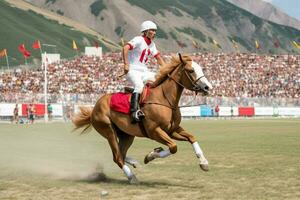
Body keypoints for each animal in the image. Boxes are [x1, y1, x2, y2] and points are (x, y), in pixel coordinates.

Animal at [72, 54, 212, 184]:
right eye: (191, 70)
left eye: (201, 69)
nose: (208, 87)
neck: (165, 100)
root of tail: (94, 109)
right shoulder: (154, 131)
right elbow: (173, 147)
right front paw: (151, 155)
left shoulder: (172, 129)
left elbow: (192, 138)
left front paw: (204, 162)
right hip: (109, 131)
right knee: (117, 157)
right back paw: (132, 177)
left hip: (127, 135)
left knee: (121, 153)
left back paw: (134, 162)